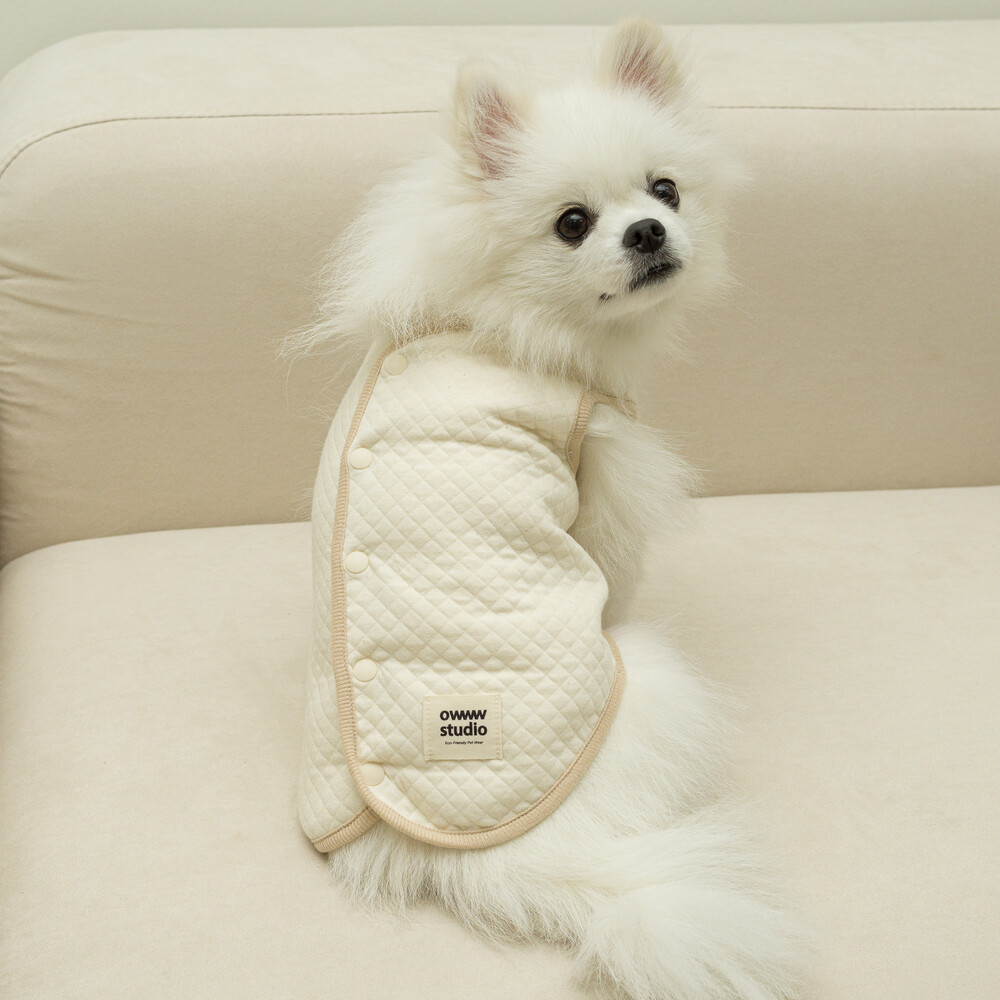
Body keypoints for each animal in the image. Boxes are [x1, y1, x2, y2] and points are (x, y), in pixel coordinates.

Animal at [283, 19, 808, 999]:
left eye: (665, 189)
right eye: (572, 224)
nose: (648, 229)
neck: (495, 317)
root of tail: (500, 856)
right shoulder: (602, 482)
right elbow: (614, 562)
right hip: (646, 679)